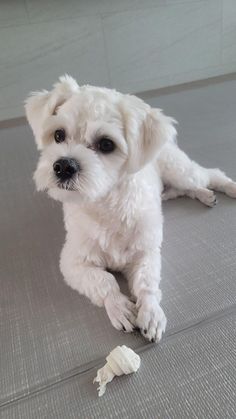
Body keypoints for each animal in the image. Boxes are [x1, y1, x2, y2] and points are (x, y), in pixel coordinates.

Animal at [24, 76, 236, 344]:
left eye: (106, 144)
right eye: (58, 134)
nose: (63, 166)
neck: (106, 206)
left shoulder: (146, 253)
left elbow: (147, 284)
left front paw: (151, 313)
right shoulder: (74, 263)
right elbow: (103, 280)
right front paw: (119, 307)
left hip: (180, 171)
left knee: (210, 174)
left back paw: (228, 187)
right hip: (170, 189)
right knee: (186, 190)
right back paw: (205, 195)